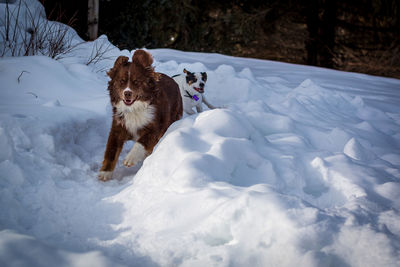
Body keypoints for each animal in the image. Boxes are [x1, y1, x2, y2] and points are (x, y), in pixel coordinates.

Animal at [99, 49, 183, 181]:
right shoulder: (118, 126)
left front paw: (130, 158)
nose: (127, 93)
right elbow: (111, 149)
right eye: (121, 81)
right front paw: (105, 173)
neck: (134, 109)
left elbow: (142, 141)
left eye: (136, 82)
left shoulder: (155, 126)